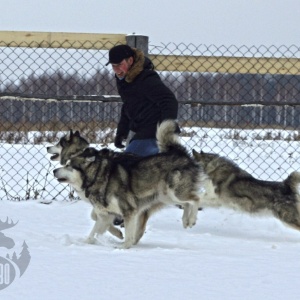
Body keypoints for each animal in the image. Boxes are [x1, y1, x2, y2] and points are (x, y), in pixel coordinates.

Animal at [53, 120, 204, 248]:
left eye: (68, 166)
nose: (54, 171)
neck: (97, 176)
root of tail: (181, 154)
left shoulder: (129, 211)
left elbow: (127, 234)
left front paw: (123, 247)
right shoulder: (106, 214)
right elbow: (93, 232)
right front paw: (84, 244)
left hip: (174, 192)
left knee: (195, 199)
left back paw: (191, 219)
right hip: (167, 196)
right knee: (187, 203)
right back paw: (185, 221)